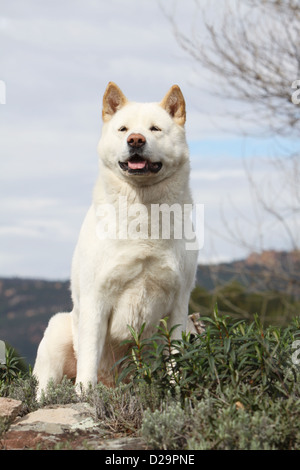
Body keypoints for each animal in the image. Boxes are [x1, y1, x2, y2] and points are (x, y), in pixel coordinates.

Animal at [32, 82, 198, 394]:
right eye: (123, 129)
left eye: (155, 128)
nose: (136, 140)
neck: (144, 216)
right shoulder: (96, 299)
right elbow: (88, 361)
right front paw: (85, 395)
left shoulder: (180, 303)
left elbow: (176, 359)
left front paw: (177, 391)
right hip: (58, 331)